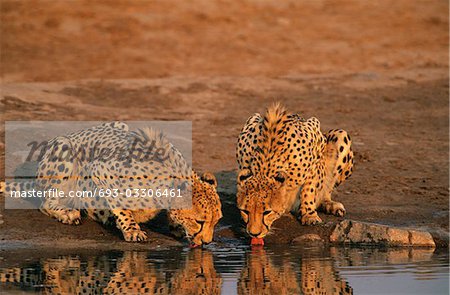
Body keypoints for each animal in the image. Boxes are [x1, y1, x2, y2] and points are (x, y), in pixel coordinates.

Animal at [3, 122, 221, 247]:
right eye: (200, 221)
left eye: (216, 222)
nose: (207, 243)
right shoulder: (100, 169)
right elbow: (120, 204)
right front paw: (131, 230)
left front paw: (175, 225)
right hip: (64, 148)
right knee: (45, 202)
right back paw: (67, 213)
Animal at [236, 104, 356, 238]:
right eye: (245, 211)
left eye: (267, 212)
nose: (254, 234)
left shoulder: (317, 142)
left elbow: (309, 188)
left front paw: (309, 214)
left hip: (341, 135)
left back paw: (329, 204)